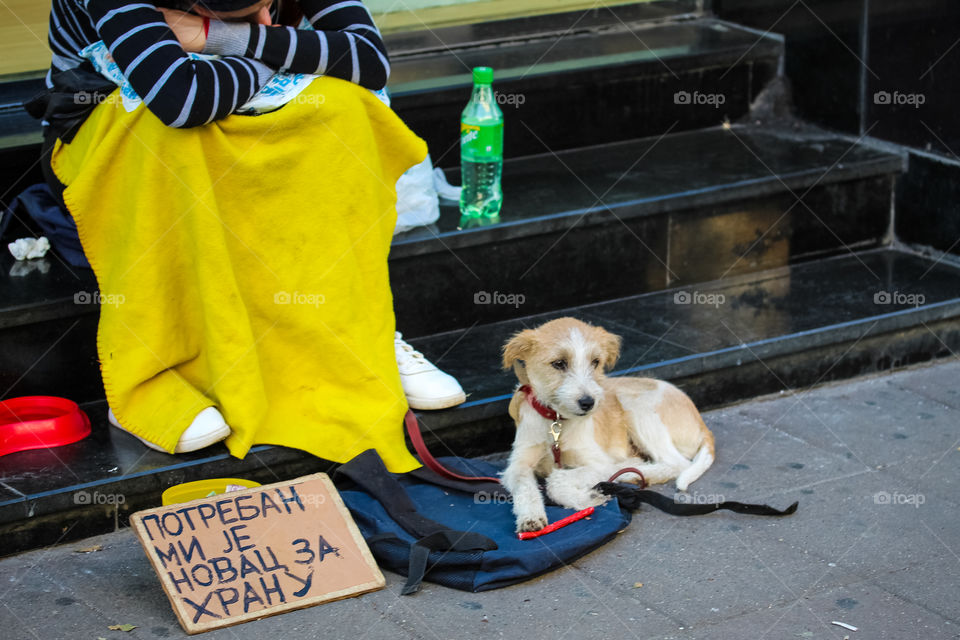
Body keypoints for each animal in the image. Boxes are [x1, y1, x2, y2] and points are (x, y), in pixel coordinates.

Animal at [502, 318, 712, 532]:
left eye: (595, 362)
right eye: (559, 363)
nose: (588, 402)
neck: (556, 422)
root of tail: (700, 421)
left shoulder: (598, 462)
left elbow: (557, 480)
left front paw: (587, 497)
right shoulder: (518, 463)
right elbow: (523, 485)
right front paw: (531, 517)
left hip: (636, 406)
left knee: (677, 463)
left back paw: (631, 473)